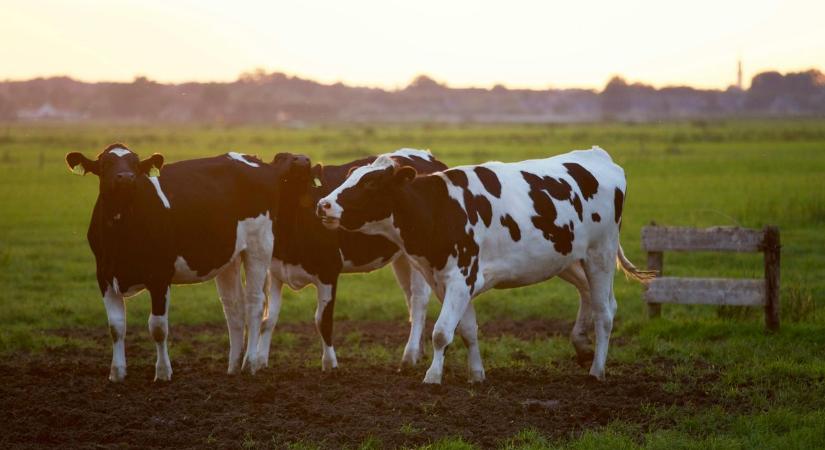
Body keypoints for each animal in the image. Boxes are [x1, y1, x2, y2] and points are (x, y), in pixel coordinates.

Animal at [66, 145, 288, 384]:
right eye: (105, 164)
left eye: (135, 163)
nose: (126, 177)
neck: (121, 232)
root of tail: (255, 160)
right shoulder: (104, 275)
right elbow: (116, 326)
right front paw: (117, 373)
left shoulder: (159, 276)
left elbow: (158, 327)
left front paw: (163, 372)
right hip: (230, 257)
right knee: (234, 307)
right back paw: (233, 366)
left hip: (259, 246)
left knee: (255, 303)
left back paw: (250, 364)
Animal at [258, 149, 448, 370]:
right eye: (280, 158)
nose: (303, 160)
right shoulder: (275, 271)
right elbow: (268, 319)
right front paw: (258, 362)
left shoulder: (329, 271)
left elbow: (323, 320)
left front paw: (330, 364)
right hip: (403, 257)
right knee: (410, 298)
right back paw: (418, 352)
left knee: (418, 301)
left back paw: (409, 356)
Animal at [318, 145, 652, 384]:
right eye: (350, 176)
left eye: (371, 183)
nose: (323, 204)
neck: (440, 208)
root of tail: (597, 155)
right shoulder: (447, 282)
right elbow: (467, 330)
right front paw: (476, 374)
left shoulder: (460, 277)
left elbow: (441, 332)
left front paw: (432, 377)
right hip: (567, 258)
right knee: (593, 296)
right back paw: (582, 346)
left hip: (600, 254)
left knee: (605, 312)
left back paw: (597, 370)